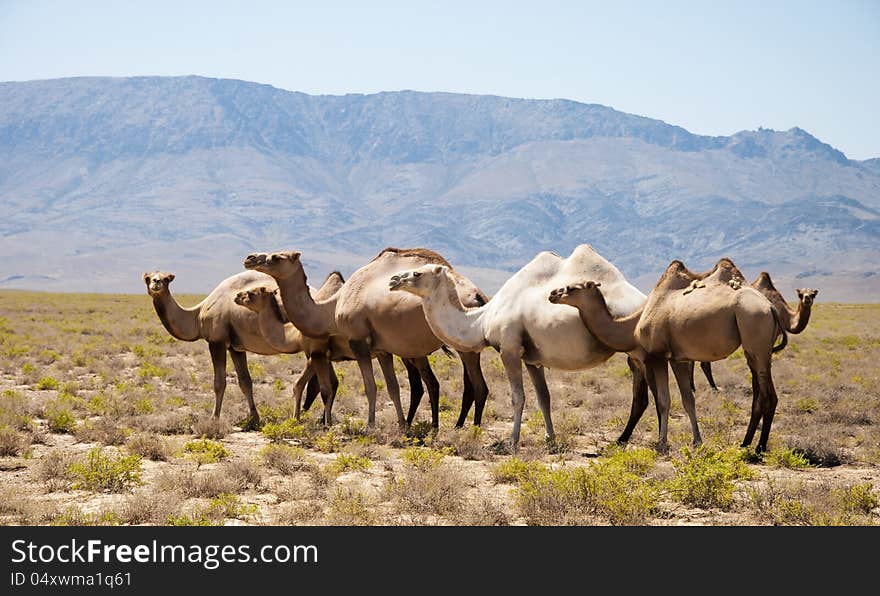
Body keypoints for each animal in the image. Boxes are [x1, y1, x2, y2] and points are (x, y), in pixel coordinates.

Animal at [143, 268, 338, 428]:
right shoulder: (235, 347)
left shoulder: (217, 341)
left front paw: (214, 418)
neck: (197, 315)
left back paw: (320, 420)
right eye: (148, 278)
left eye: (166, 279)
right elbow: (245, 382)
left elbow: (219, 383)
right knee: (332, 382)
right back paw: (321, 419)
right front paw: (254, 418)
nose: (156, 283)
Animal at [242, 247, 488, 428]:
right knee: (456, 385)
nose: (250, 258)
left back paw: (469, 431)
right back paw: (452, 426)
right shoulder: (382, 349)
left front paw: (369, 426)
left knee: (478, 387)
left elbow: (370, 387)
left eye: (276, 257)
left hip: (462, 344)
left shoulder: (357, 341)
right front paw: (402, 426)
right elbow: (392, 388)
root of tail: (478, 294)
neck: (331, 308)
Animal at [388, 244, 648, 450]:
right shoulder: (533, 359)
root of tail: (645, 300)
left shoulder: (509, 349)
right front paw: (550, 439)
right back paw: (622, 439)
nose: (393, 280)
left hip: (639, 353)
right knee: (641, 398)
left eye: (417, 272)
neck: (482, 320)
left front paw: (512, 441)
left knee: (643, 397)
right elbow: (544, 398)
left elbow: (517, 397)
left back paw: (623, 440)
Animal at [552, 258, 788, 454]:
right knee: (759, 394)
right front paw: (697, 442)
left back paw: (758, 448)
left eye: (572, 288)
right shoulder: (678, 359)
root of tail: (770, 308)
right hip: (756, 350)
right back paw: (745, 443)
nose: (553, 293)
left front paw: (662, 443)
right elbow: (688, 400)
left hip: (755, 331)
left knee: (769, 396)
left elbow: (664, 401)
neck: (634, 324)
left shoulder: (657, 356)